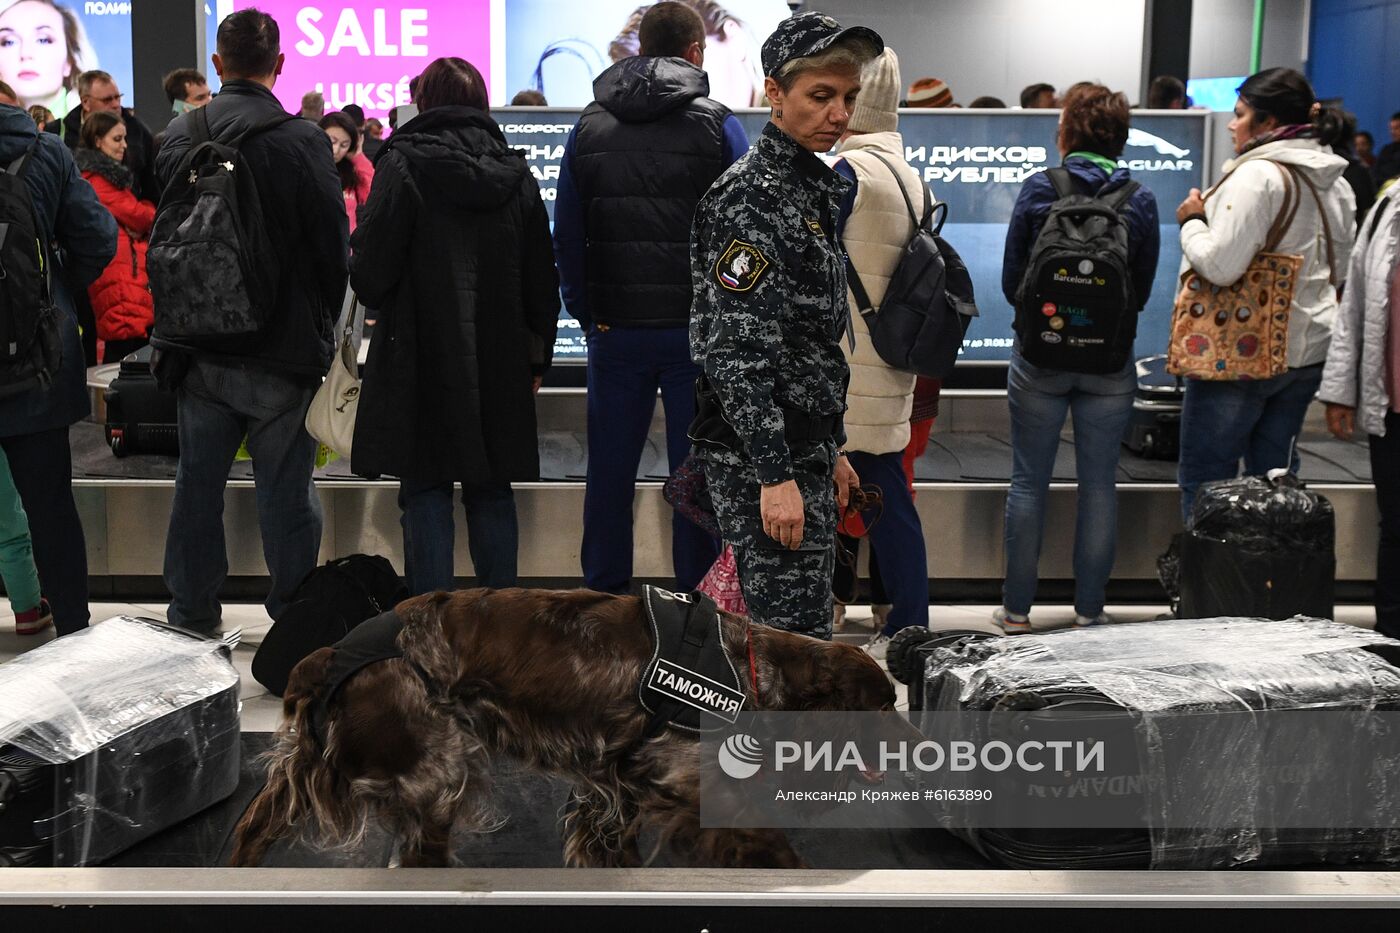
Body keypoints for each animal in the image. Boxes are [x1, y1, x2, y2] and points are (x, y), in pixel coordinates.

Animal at [225, 588, 890, 862]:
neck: (752, 665)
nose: (911, 749)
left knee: (253, 826)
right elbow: (766, 840)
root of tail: (331, 652)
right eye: (884, 708)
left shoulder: (610, 795)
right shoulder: (687, 779)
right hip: (434, 774)